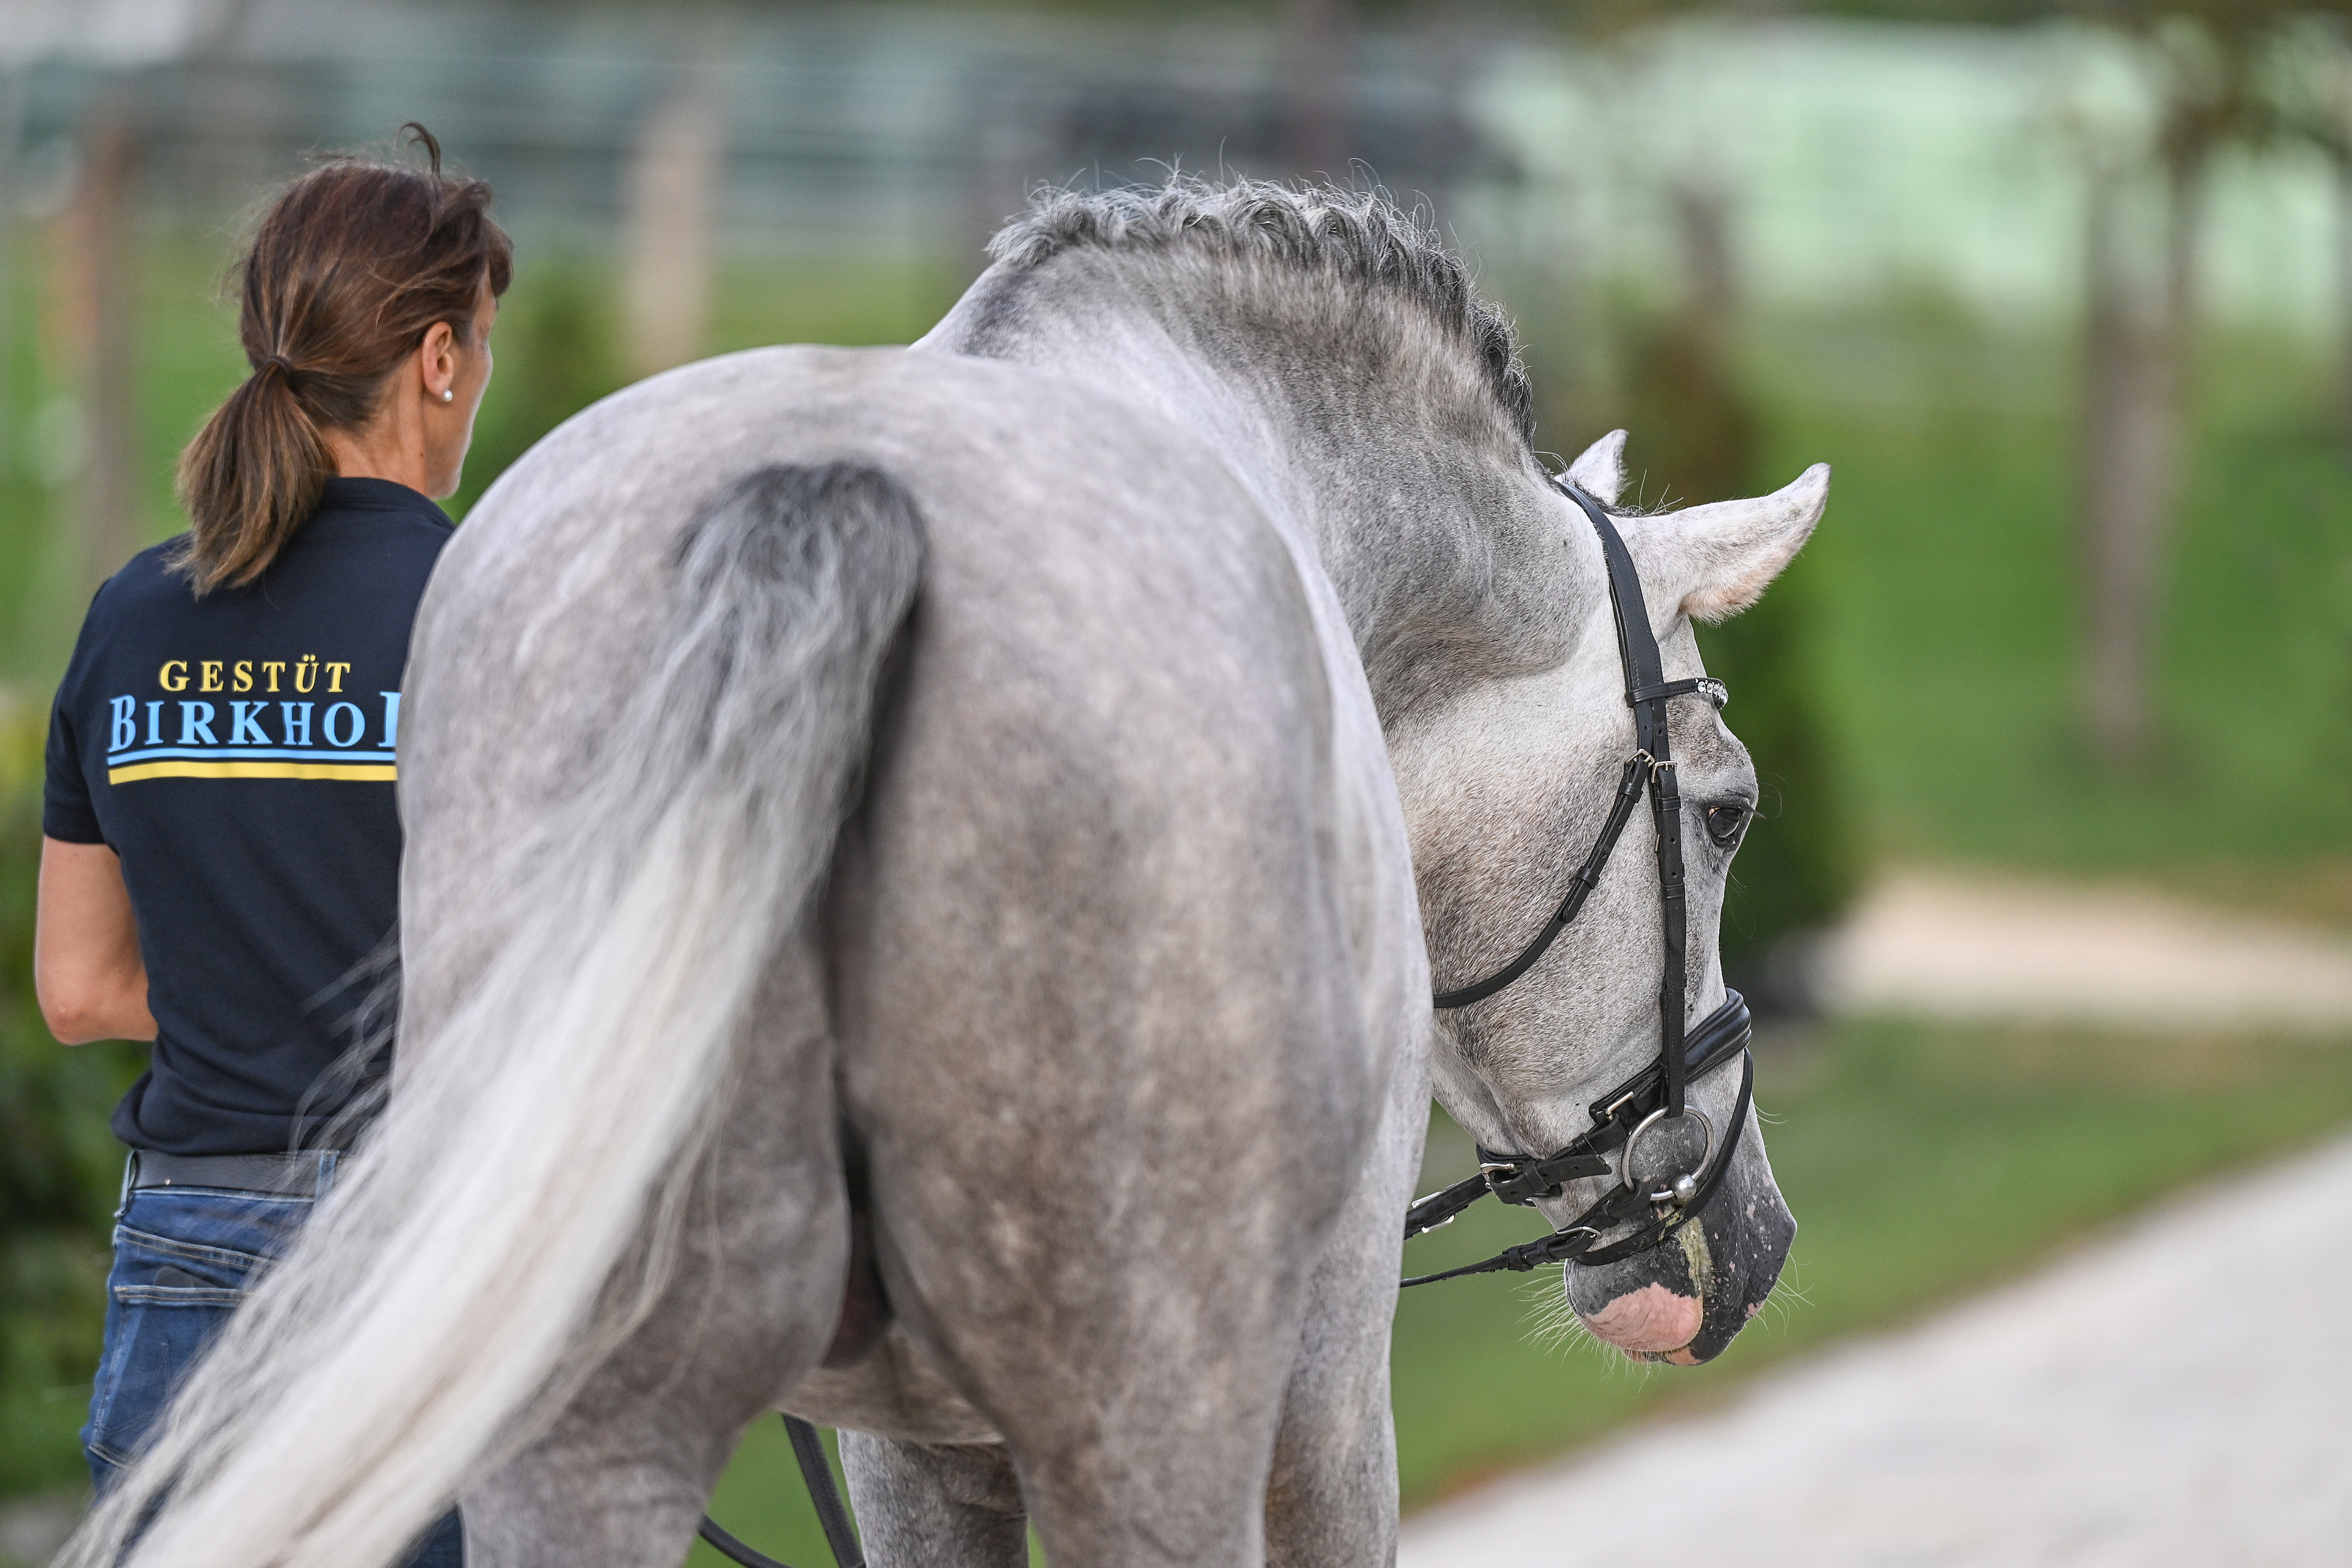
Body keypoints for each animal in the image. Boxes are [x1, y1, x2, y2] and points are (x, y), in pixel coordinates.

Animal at [67, 180, 1824, 1568]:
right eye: (1729, 813)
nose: (1750, 1238)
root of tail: (840, 494)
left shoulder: (907, 1447)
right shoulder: (1322, 1404)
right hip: (1160, 1406)